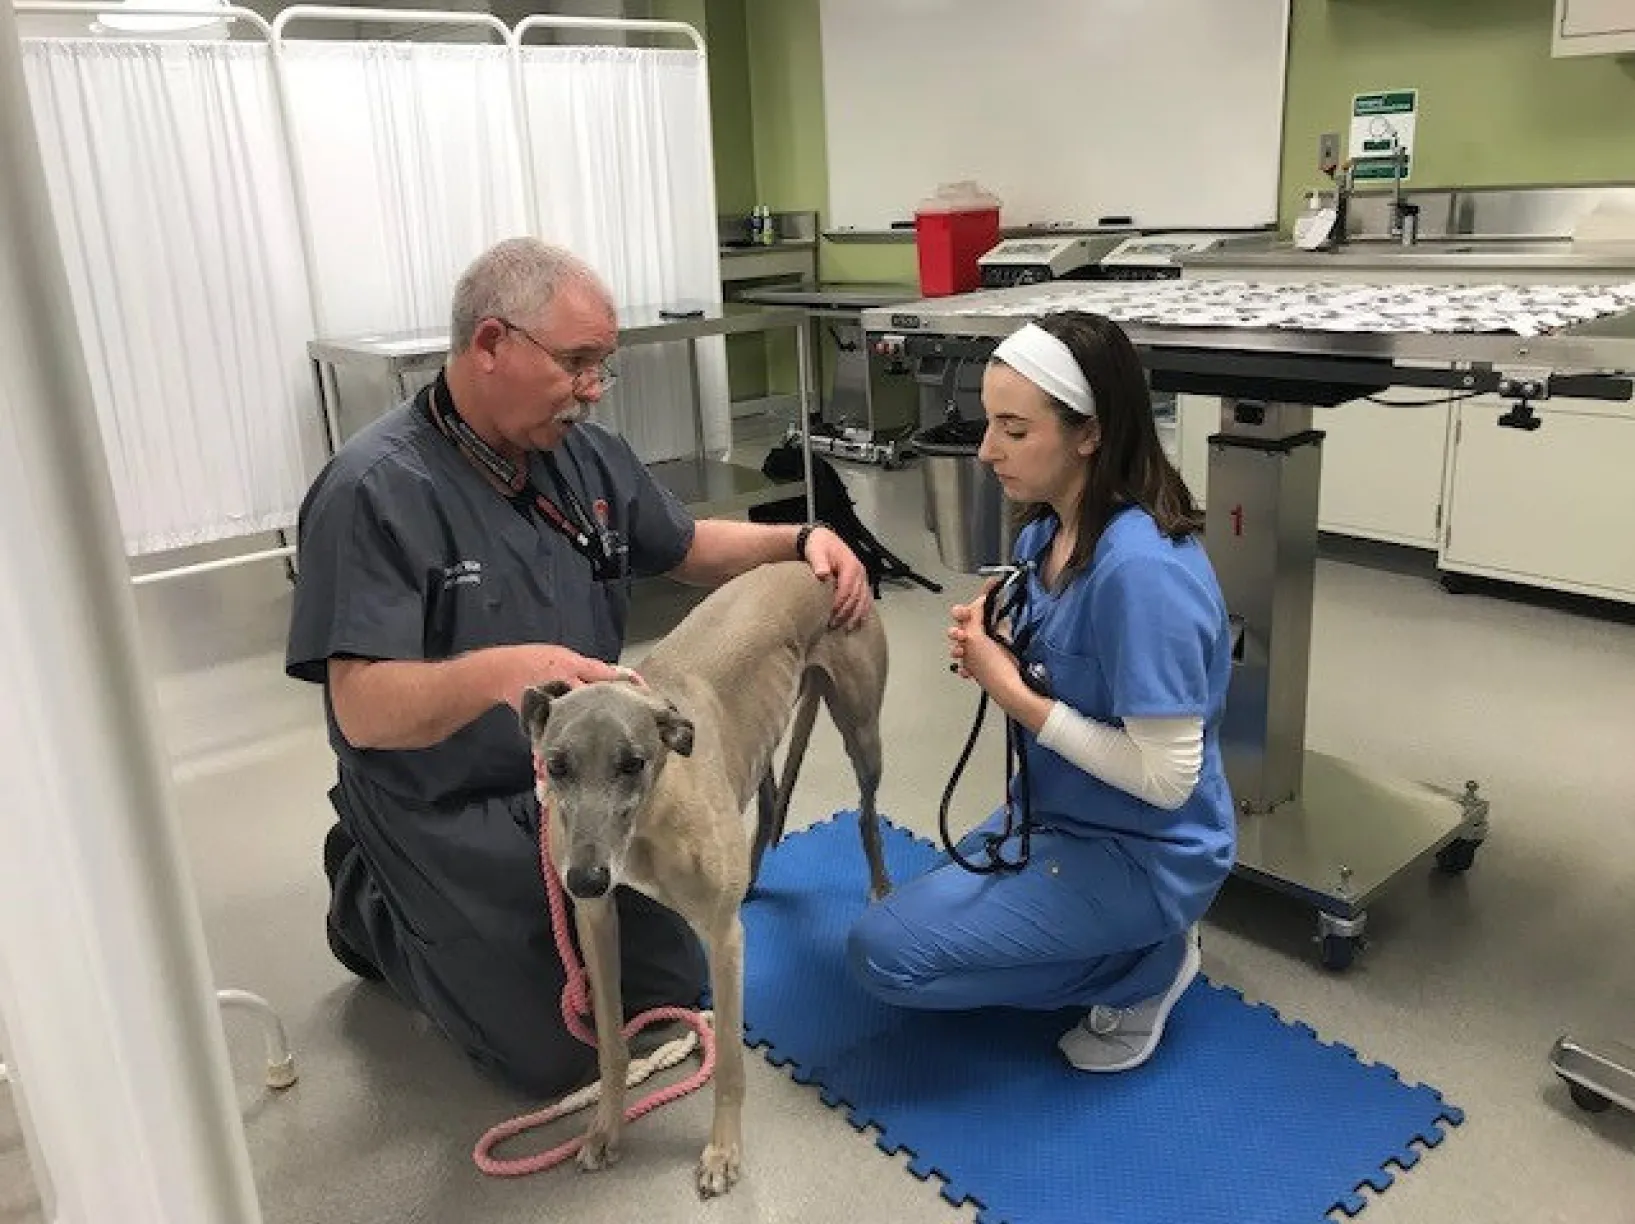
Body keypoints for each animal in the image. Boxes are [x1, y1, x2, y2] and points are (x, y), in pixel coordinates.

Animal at [519, 562, 889, 1196]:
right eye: (557, 765)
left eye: (632, 762)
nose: (586, 877)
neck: (650, 816)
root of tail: (816, 556)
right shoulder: (597, 922)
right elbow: (611, 1043)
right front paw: (605, 1129)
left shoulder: (723, 939)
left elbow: (733, 1066)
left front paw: (722, 1152)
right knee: (770, 799)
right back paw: (757, 875)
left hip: (862, 731)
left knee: (865, 812)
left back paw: (882, 888)